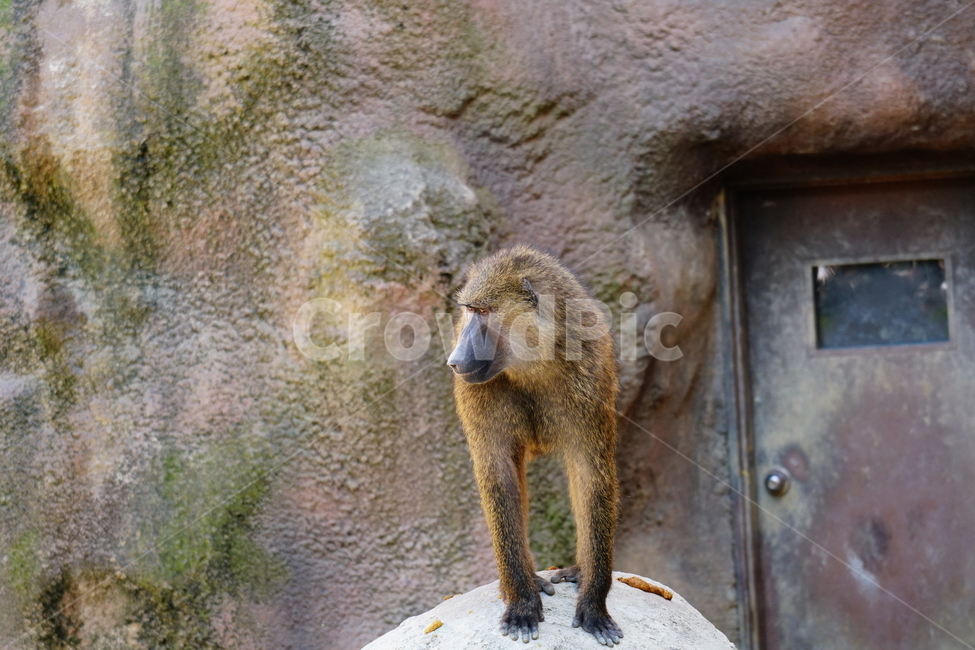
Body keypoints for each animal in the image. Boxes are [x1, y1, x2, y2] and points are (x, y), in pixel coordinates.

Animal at [447, 244, 623, 646]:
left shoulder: (588, 374)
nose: (454, 360)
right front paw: (522, 603)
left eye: (485, 312)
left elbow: (590, 476)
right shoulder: (477, 391)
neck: (533, 363)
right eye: (469, 311)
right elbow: (500, 476)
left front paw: (594, 605)